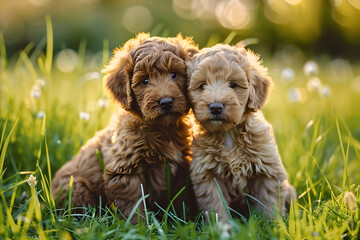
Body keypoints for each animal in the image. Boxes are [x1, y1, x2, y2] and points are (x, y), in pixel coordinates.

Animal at [52, 32, 198, 222]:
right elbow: (133, 205)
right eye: (145, 80)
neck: (163, 128)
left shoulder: (180, 169)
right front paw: (139, 225)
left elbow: (179, 199)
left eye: (174, 74)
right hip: (77, 186)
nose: (166, 102)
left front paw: (181, 220)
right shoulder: (124, 170)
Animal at [186, 44, 296, 220]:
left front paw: (272, 222)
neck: (228, 133)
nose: (215, 107)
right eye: (202, 85)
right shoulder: (207, 175)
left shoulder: (267, 170)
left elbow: (269, 201)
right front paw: (221, 225)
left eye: (233, 84)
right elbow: (215, 205)